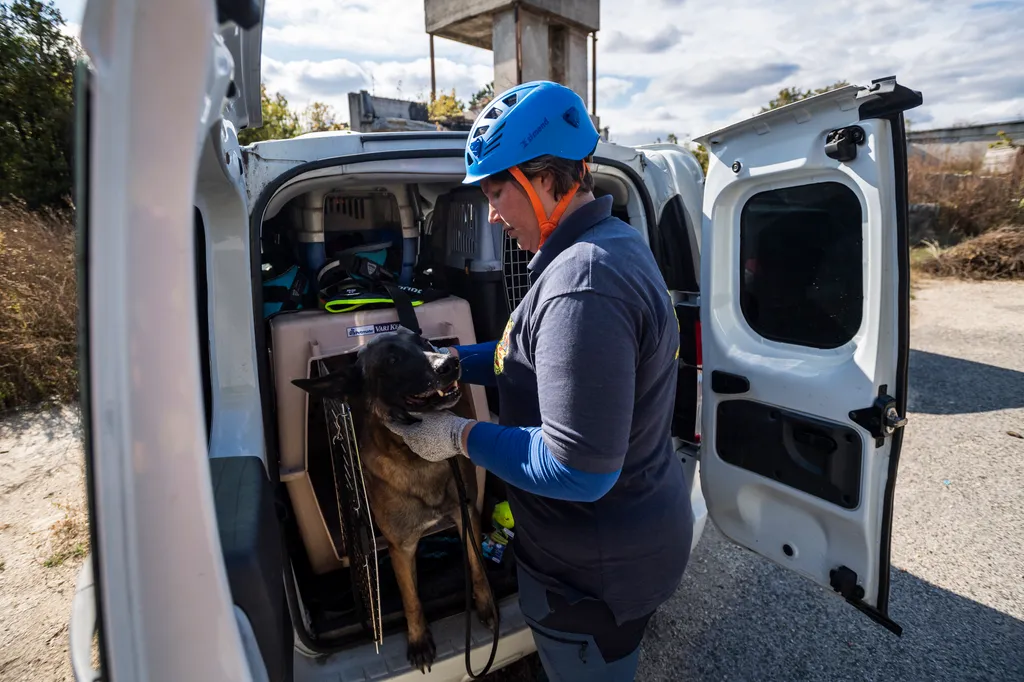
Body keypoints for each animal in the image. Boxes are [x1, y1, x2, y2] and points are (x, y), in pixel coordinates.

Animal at [292, 327, 495, 667]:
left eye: (423, 342)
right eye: (392, 360)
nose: (448, 364)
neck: (419, 461)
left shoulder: (466, 516)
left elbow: (477, 568)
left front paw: (487, 605)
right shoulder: (401, 548)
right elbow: (410, 597)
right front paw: (418, 640)